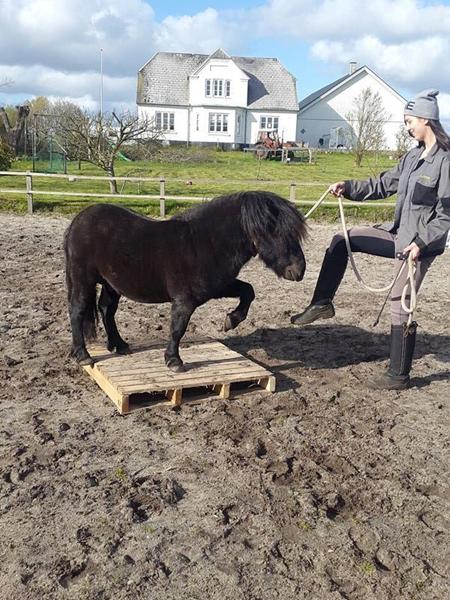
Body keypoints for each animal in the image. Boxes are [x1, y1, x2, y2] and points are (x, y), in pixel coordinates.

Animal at [64, 192, 306, 370]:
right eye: (276, 232)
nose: (300, 270)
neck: (203, 242)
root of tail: (79, 219)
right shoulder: (185, 300)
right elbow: (177, 328)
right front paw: (174, 361)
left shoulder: (218, 287)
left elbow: (248, 291)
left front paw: (231, 320)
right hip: (83, 279)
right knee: (77, 311)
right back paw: (83, 355)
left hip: (112, 284)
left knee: (106, 309)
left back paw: (119, 345)